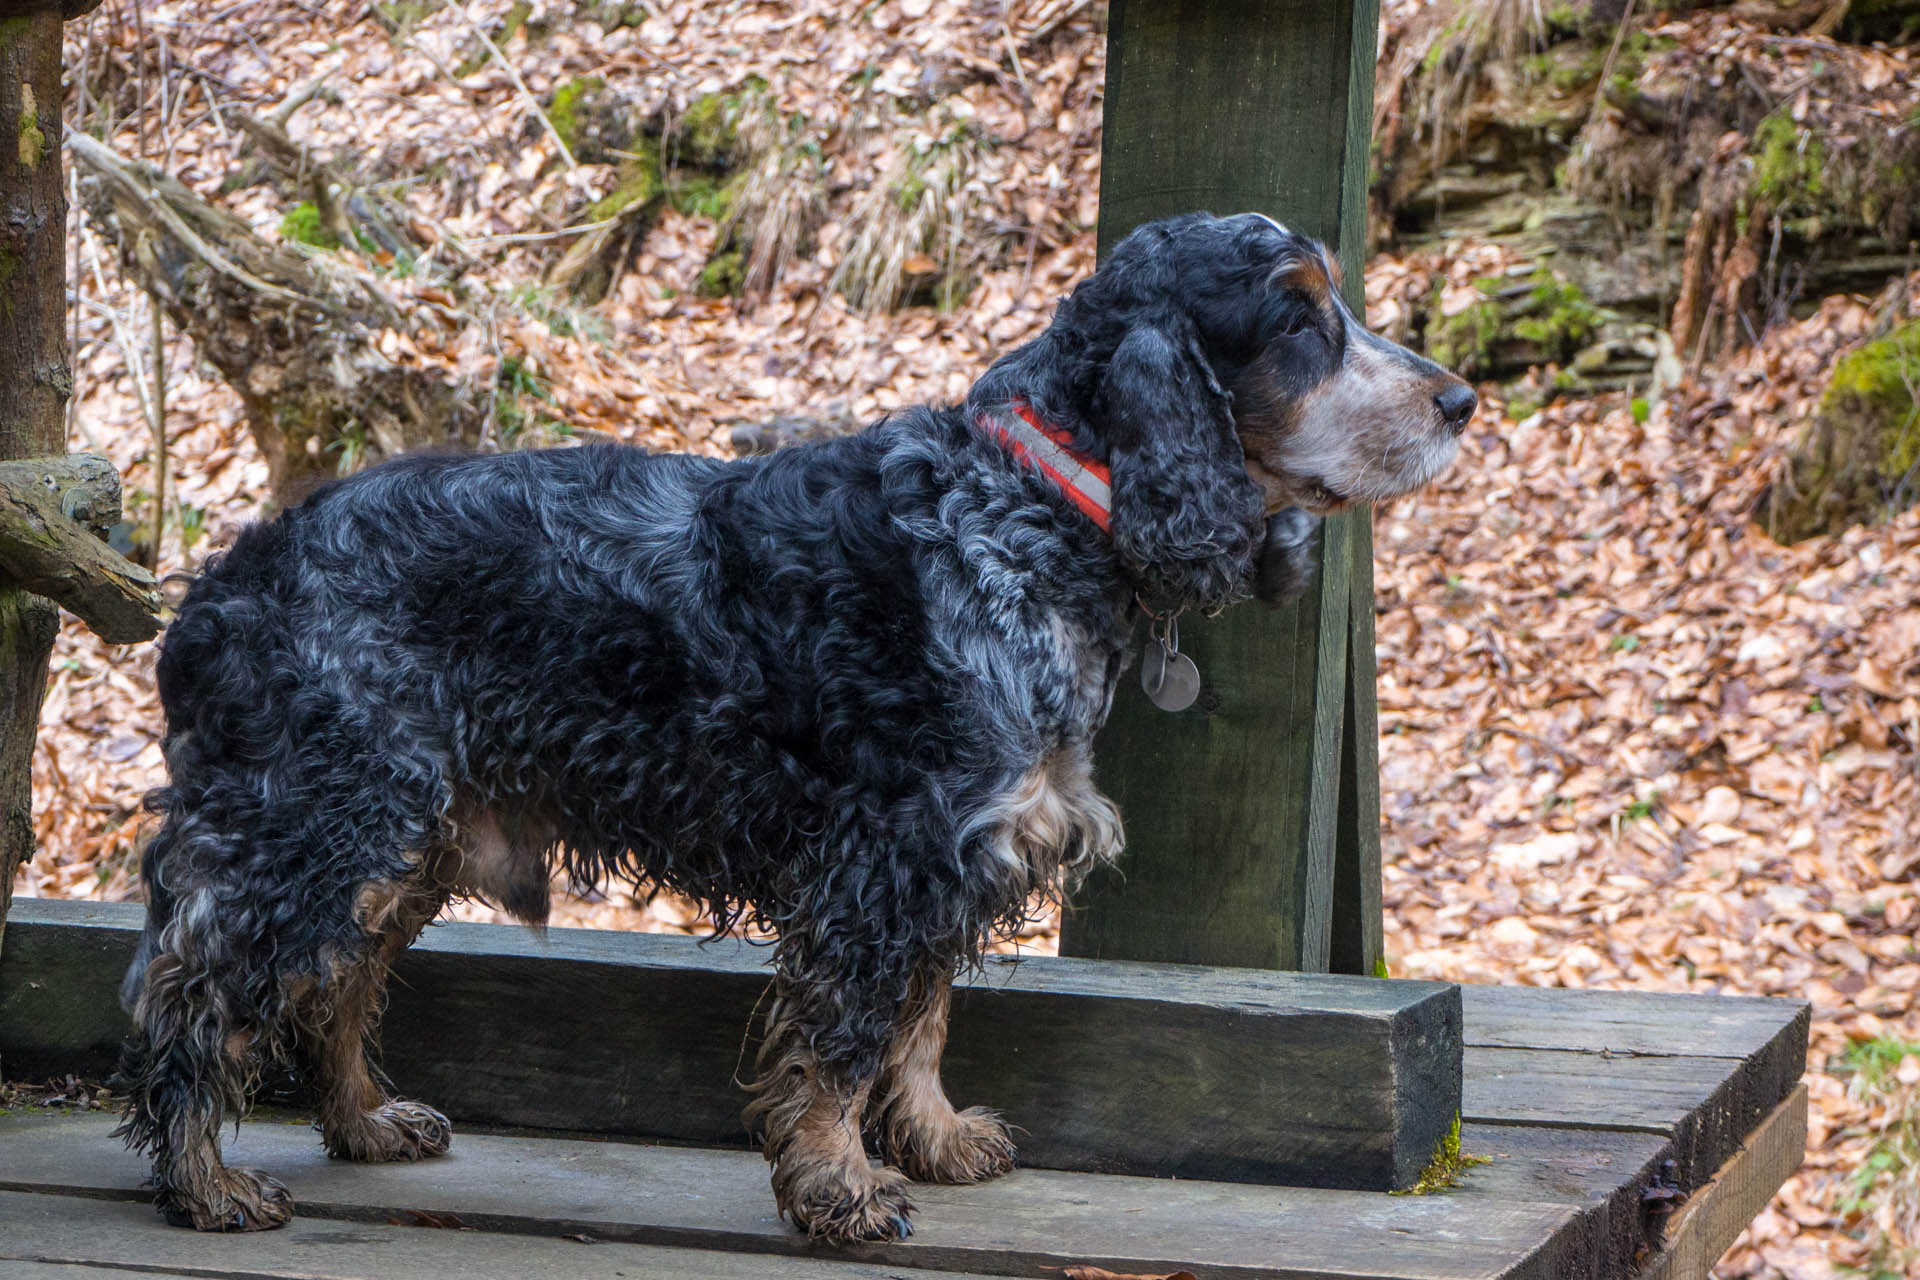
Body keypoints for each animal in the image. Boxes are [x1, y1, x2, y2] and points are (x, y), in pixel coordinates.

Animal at [116, 210, 1466, 1243]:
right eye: (1299, 321)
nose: (1459, 397)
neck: (1024, 507)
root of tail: (220, 584)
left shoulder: (954, 852)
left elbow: (920, 1022)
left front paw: (932, 1137)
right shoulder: (884, 856)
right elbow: (844, 1042)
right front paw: (840, 1188)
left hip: (403, 833)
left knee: (331, 983)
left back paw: (360, 1120)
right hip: (321, 821)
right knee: (197, 990)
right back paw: (203, 1177)